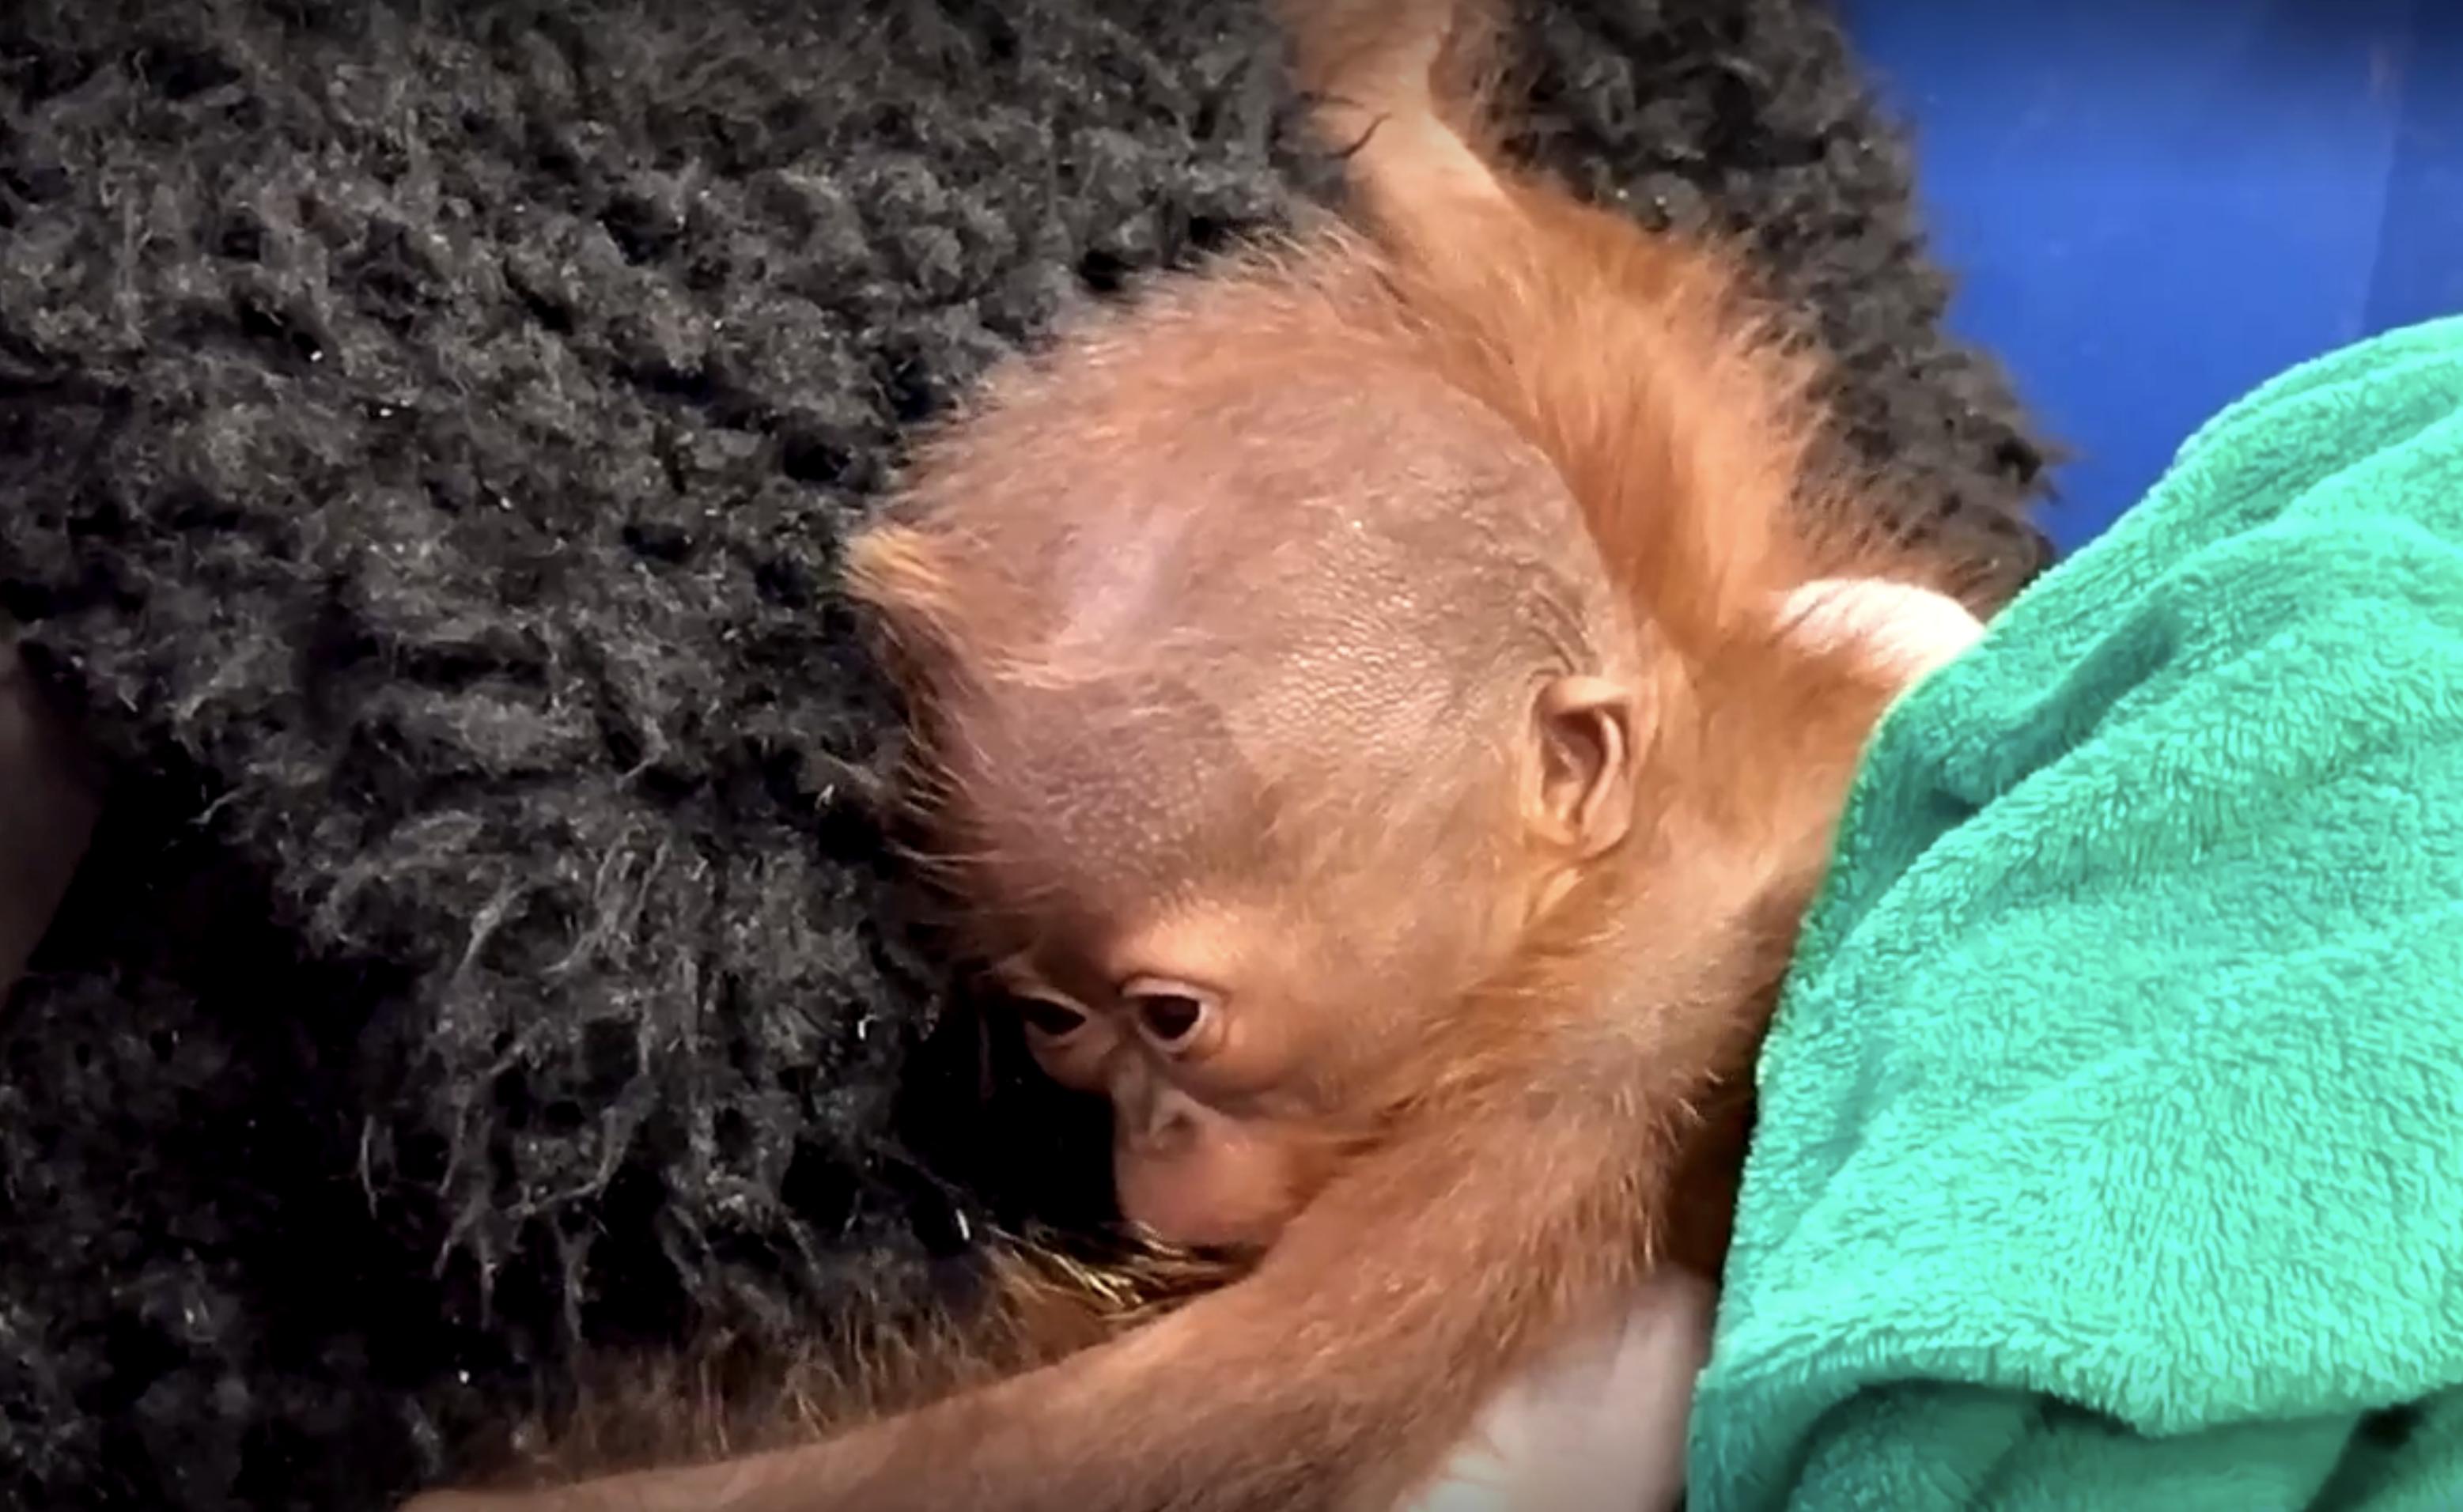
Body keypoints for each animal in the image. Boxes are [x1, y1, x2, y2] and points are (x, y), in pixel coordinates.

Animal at [400, 2, 1994, 1508]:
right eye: (1057, 1023)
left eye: (1168, 1019)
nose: (1142, 1138)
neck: (1622, 824)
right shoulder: (1622, 477)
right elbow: (1478, 228)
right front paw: (1372, 73)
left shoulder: (1604, 1027)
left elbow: (1206, 1418)